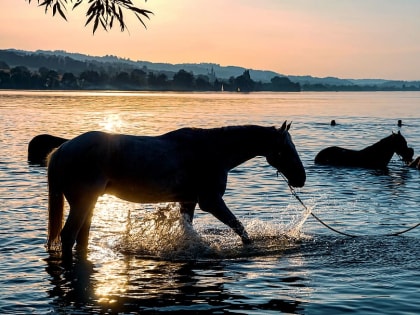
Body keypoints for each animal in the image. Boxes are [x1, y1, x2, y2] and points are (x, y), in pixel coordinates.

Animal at [46, 121, 306, 260]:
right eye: (286, 149)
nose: (301, 178)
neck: (213, 151)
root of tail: (62, 149)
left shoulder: (188, 201)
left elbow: (188, 229)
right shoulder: (211, 201)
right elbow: (240, 229)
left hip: (88, 204)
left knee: (80, 238)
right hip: (83, 202)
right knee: (68, 236)